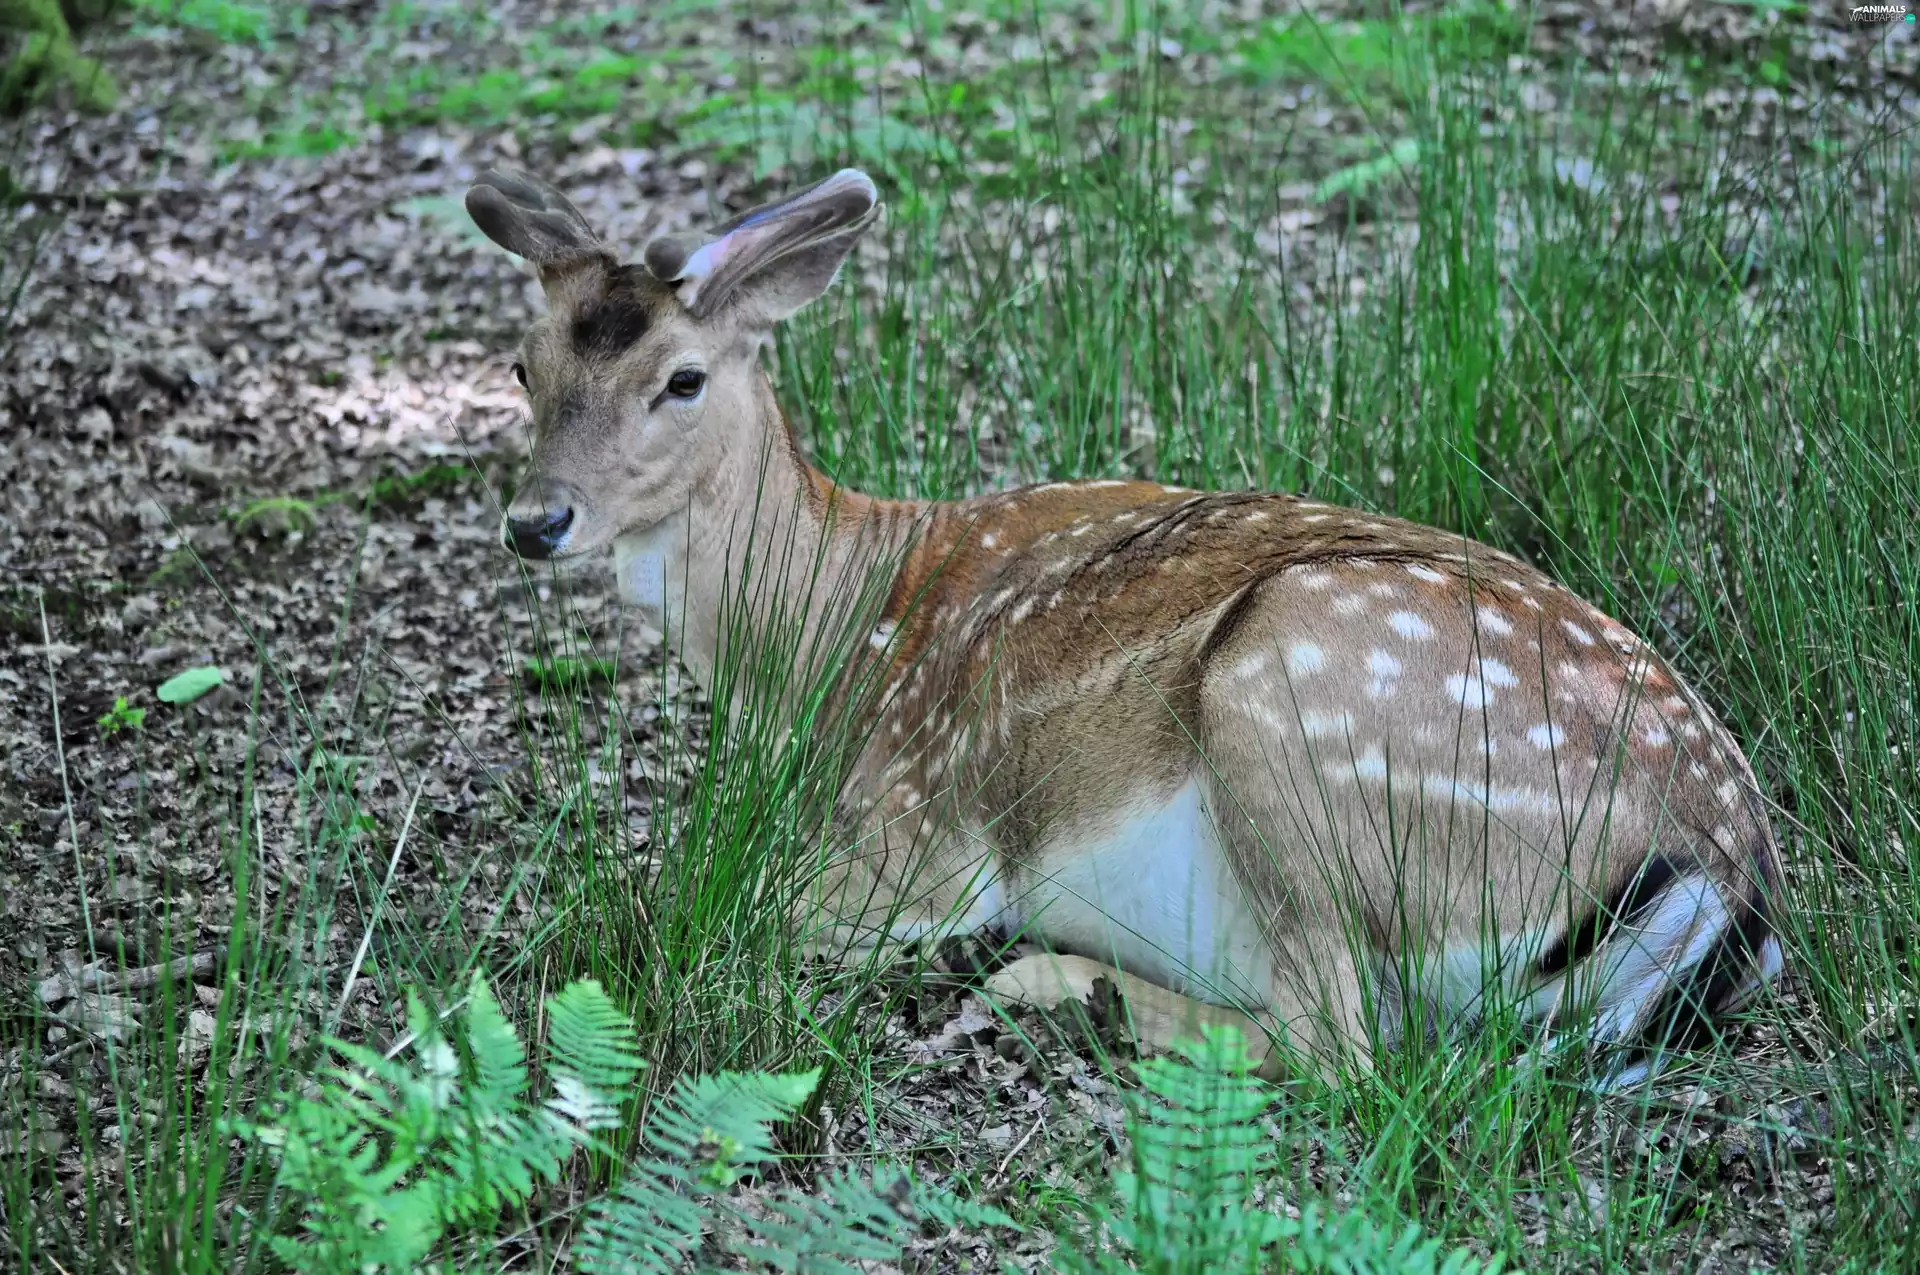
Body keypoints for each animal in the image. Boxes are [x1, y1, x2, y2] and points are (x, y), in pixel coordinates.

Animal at [465, 165, 1783, 1088]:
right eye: (522, 367)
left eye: (682, 380)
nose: (536, 520)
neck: (828, 638)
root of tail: (1724, 881)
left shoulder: (918, 836)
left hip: (1291, 694)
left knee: (1338, 1047)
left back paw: (1054, 983)